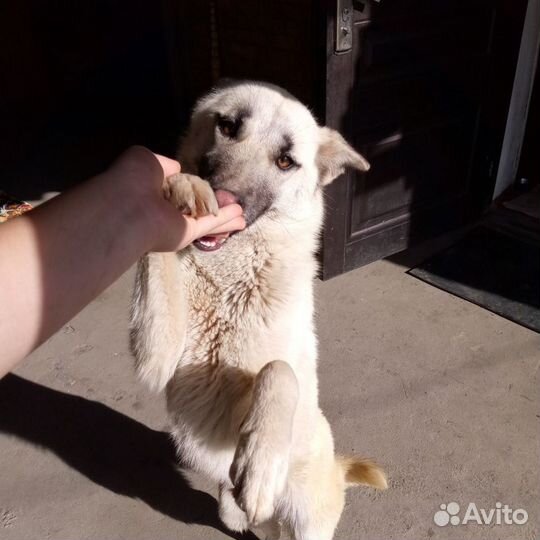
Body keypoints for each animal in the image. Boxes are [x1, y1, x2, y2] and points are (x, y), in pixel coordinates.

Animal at [129, 81, 386, 540]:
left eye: (286, 160)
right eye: (228, 126)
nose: (225, 196)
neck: (229, 275)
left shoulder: (272, 381)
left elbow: (278, 372)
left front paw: (259, 467)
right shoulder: (155, 356)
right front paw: (183, 187)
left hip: (307, 523)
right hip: (232, 513)